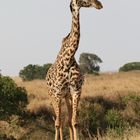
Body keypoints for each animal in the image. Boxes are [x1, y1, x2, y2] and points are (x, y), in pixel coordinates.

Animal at [46, 0, 103, 139]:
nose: (99, 4)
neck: (69, 57)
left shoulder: (76, 91)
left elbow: (74, 121)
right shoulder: (57, 93)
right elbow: (58, 123)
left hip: (67, 96)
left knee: (66, 120)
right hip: (53, 96)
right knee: (58, 121)